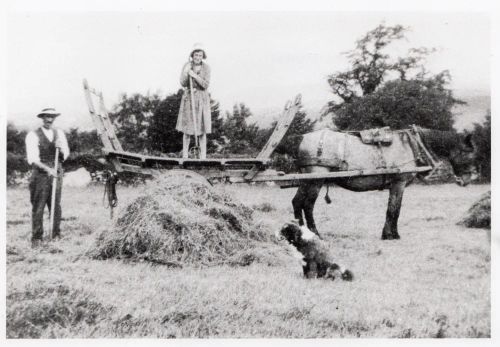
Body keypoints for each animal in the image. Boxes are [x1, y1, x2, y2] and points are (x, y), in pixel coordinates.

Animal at [292, 126, 478, 241]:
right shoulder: (399, 183)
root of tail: (302, 137)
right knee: (308, 205)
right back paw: (315, 234)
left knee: (297, 202)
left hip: (306, 181)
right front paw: (391, 235)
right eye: (468, 153)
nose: (468, 179)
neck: (413, 144)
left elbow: (394, 209)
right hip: (316, 180)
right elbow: (394, 209)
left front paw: (390, 233)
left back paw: (300, 233)